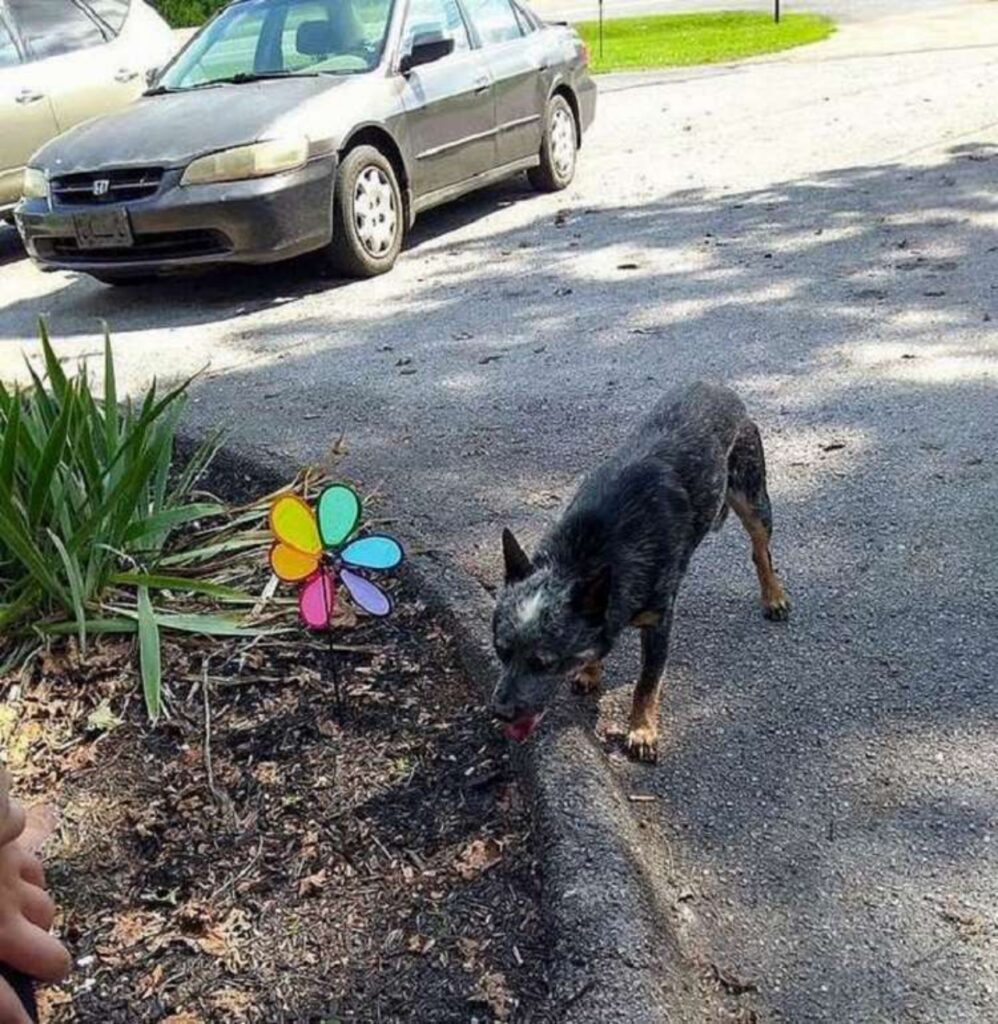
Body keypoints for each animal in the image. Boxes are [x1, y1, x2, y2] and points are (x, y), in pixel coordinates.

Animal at [489, 382, 790, 761]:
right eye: (501, 651)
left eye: (543, 663)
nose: (499, 712)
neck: (587, 549)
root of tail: (717, 388)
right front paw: (590, 671)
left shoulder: (659, 622)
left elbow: (647, 682)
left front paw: (642, 731)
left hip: (752, 496)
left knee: (761, 550)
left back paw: (774, 596)